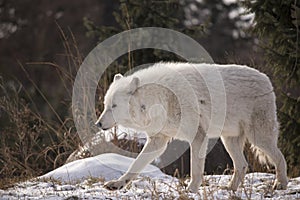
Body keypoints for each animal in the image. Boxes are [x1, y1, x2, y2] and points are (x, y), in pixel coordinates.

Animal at [96, 62, 288, 192]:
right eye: (106, 105)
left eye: (114, 106)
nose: (98, 124)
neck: (160, 99)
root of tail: (265, 78)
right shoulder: (158, 140)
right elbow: (135, 165)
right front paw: (117, 184)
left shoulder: (198, 136)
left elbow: (195, 169)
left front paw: (191, 189)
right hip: (229, 140)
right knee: (242, 165)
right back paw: (230, 189)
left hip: (258, 137)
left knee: (280, 158)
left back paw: (280, 184)